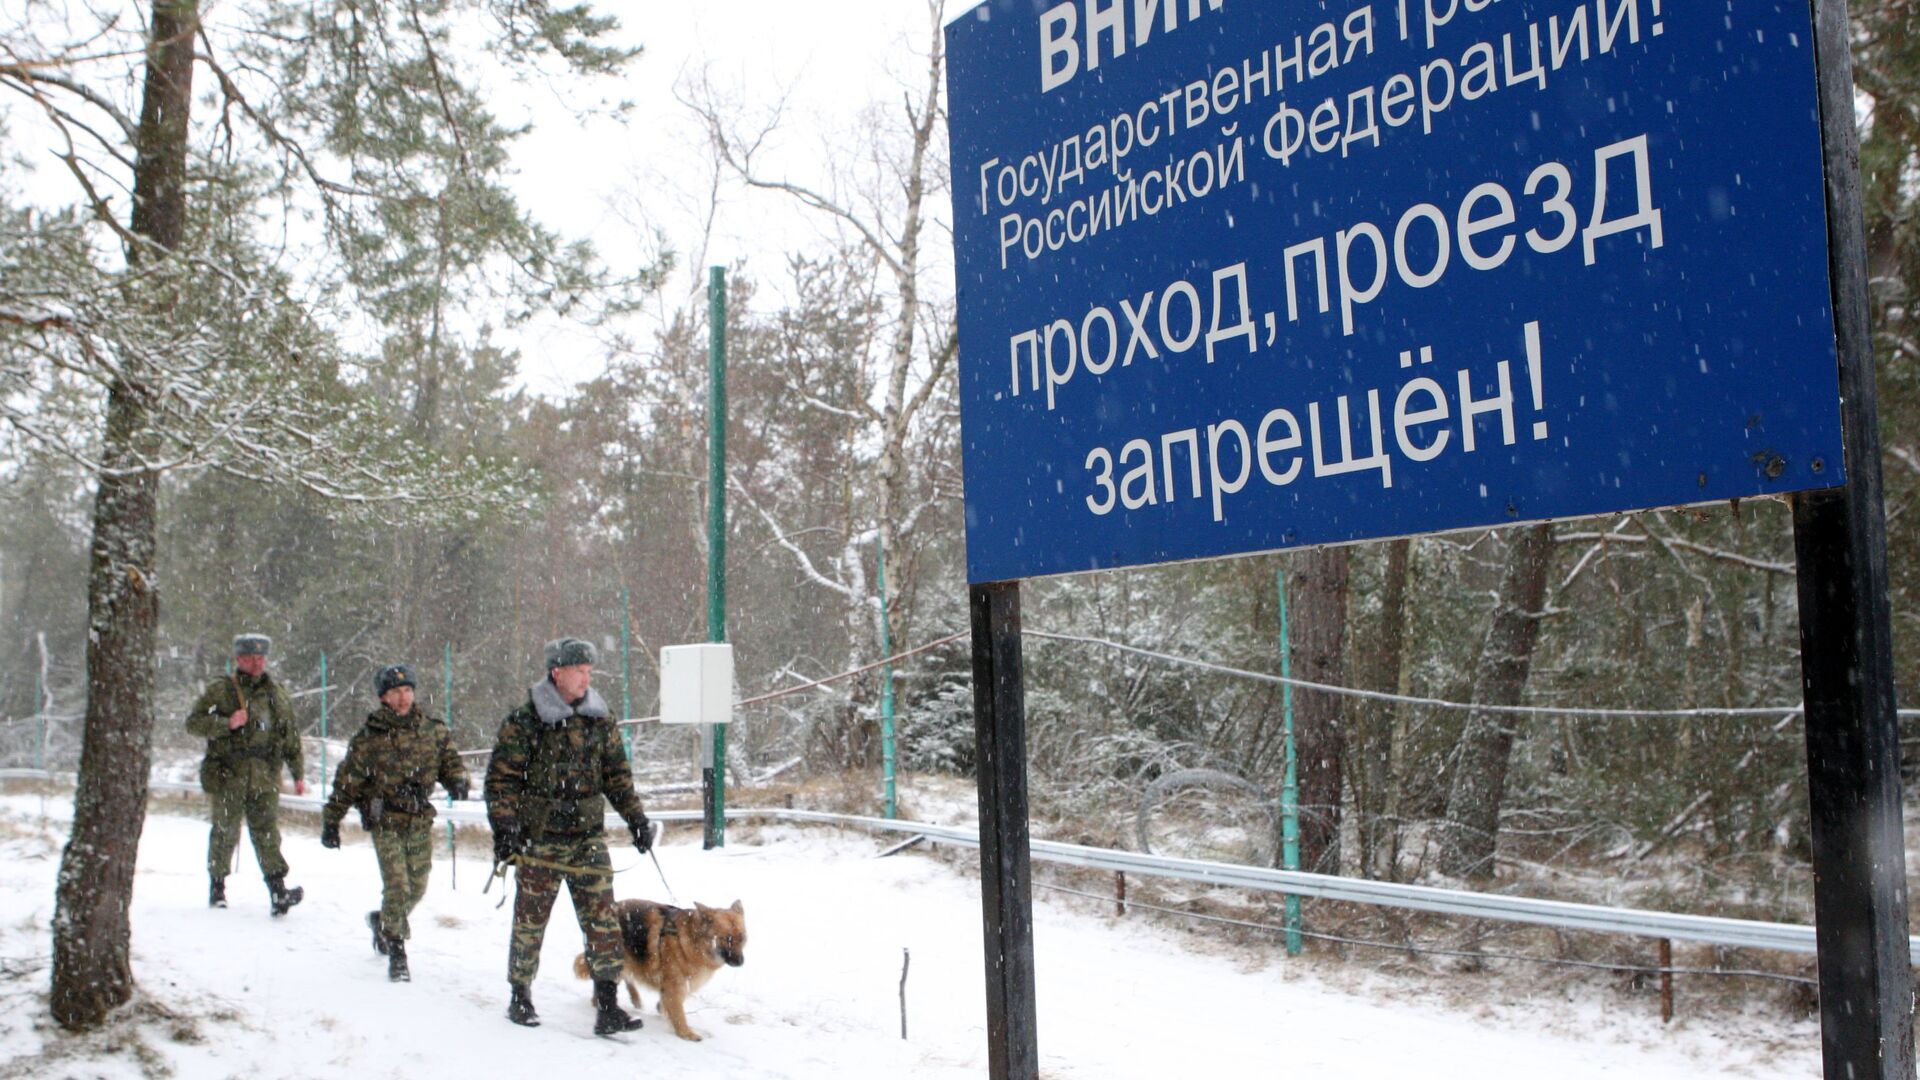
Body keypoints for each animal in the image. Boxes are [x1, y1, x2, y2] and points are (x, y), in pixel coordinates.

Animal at [572, 891, 744, 1037]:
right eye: (727, 939)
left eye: (742, 938)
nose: (741, 962)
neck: (691, 940)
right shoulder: (675, 984)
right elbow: (678, 1011)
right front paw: (686, 1033)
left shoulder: (678, 983)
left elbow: (670, 1002)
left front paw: (662, 1008)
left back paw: (630, 999)